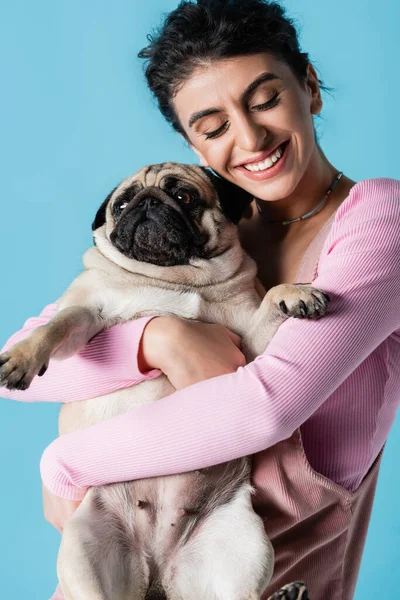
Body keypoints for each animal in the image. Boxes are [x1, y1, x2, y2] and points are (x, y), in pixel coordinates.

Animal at [0, 162, 324, 596]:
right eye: (121, 205)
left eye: (184, 196)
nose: (147, 204)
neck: (174, 277)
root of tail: (156, 573)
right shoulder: (86, 312)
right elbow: (58, 323)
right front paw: (22, 357)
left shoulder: (246, 357)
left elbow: (272, 299)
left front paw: (294, 291)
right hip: (81, 545)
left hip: (244, 543)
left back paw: (288, 594)